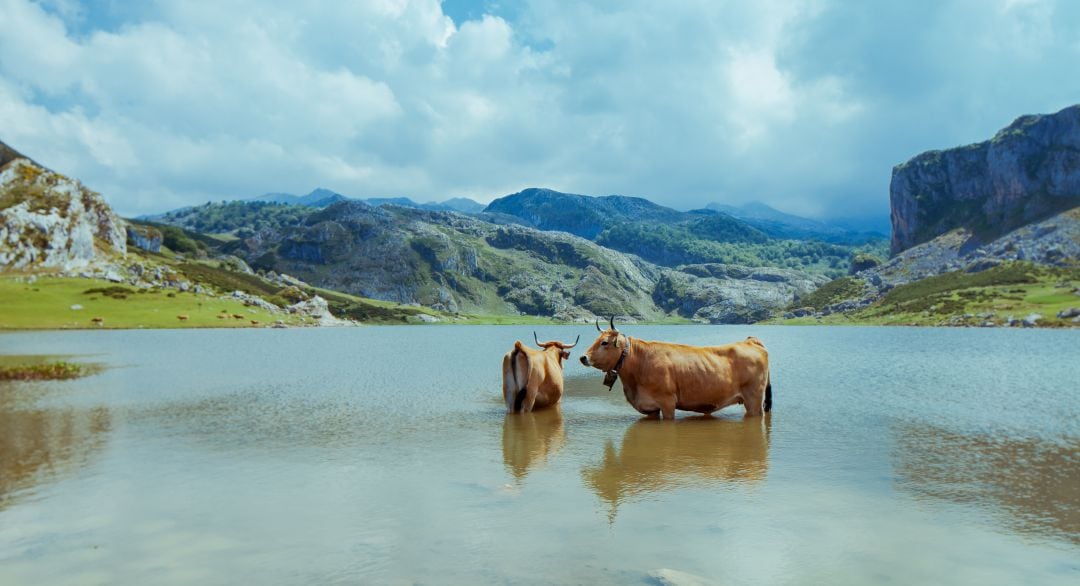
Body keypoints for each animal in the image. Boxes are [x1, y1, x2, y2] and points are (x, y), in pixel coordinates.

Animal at [578, 319, 773, 418]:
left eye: (604, 342)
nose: (583, 357)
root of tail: (749, 341)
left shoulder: (667, 402)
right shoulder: (650, 408)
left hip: (754, 399)